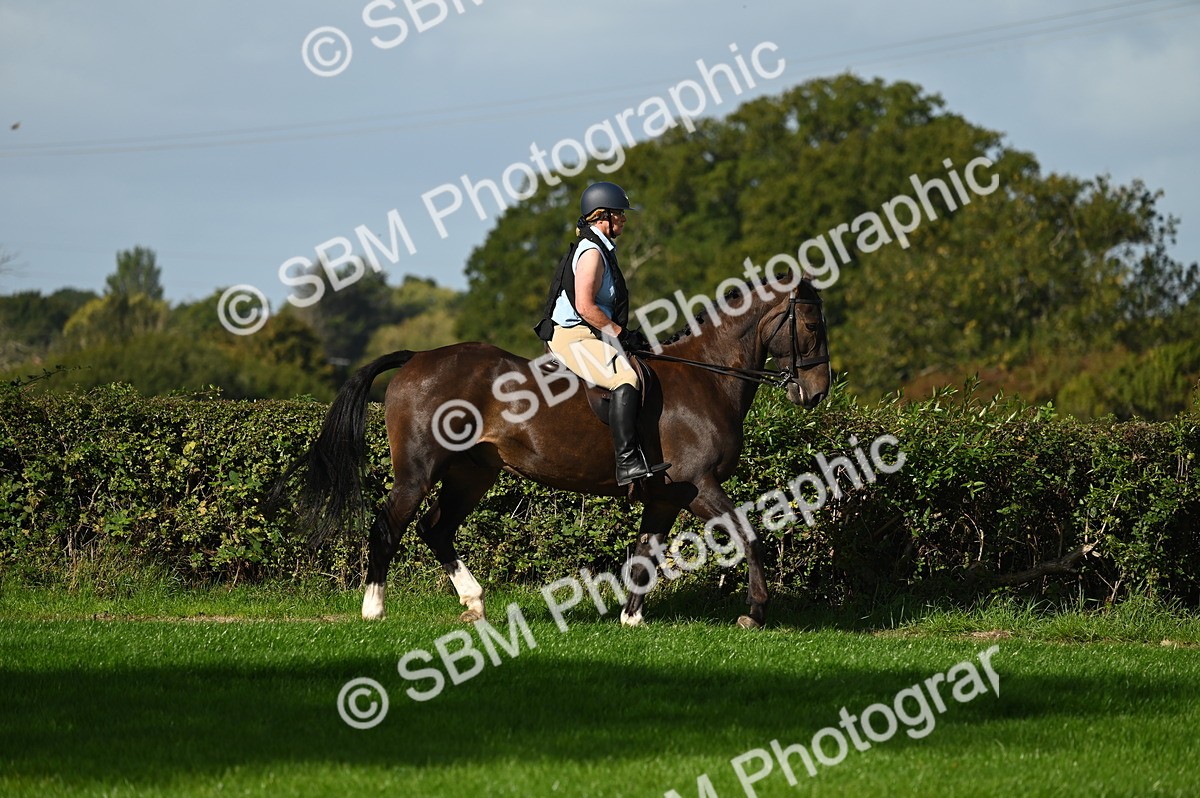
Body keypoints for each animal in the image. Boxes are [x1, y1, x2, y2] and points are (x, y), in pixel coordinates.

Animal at [284, 275, 830, 628]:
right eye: (810, 328)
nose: (817, 392)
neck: (708, 377)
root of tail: (417, 356)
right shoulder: (700, 486)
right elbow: (748, 535)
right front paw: (755, 612)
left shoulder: (666, 495)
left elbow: (644, 554)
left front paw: (631, 620)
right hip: (419, 472)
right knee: (389, 525)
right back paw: (373, 609)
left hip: (471, 474)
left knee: (435, 528)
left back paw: (475, 604)